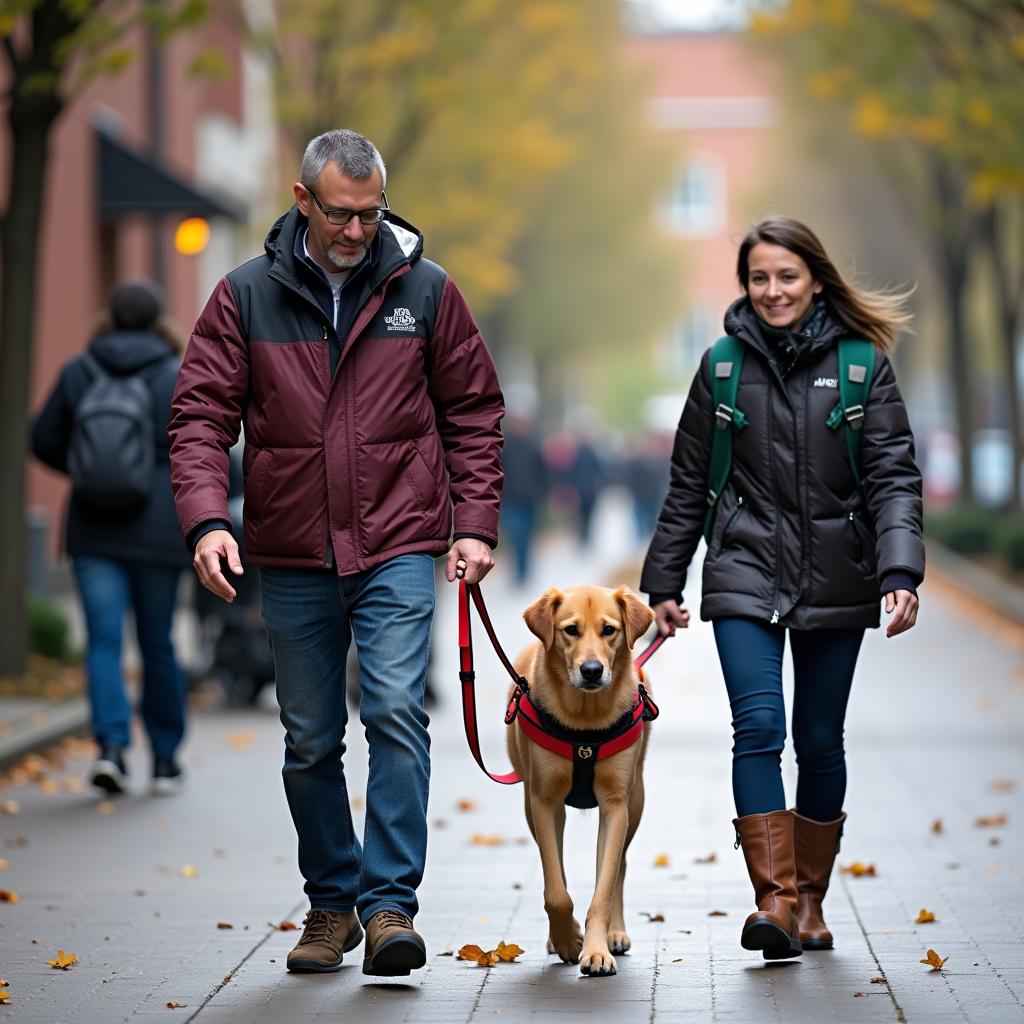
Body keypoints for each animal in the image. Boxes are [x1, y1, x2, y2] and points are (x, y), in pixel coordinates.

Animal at [509, 585, 655, 974]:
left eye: (609, 630)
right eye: (571, 630)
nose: (591, 671)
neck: (585, 723)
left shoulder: (616, 805)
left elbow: (604, 886)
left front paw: (596, 950)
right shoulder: (543, 801)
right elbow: (555, 888)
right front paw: (567, 940)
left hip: (636, 802)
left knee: (619, 867)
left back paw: (614, 934)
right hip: (532, 806)